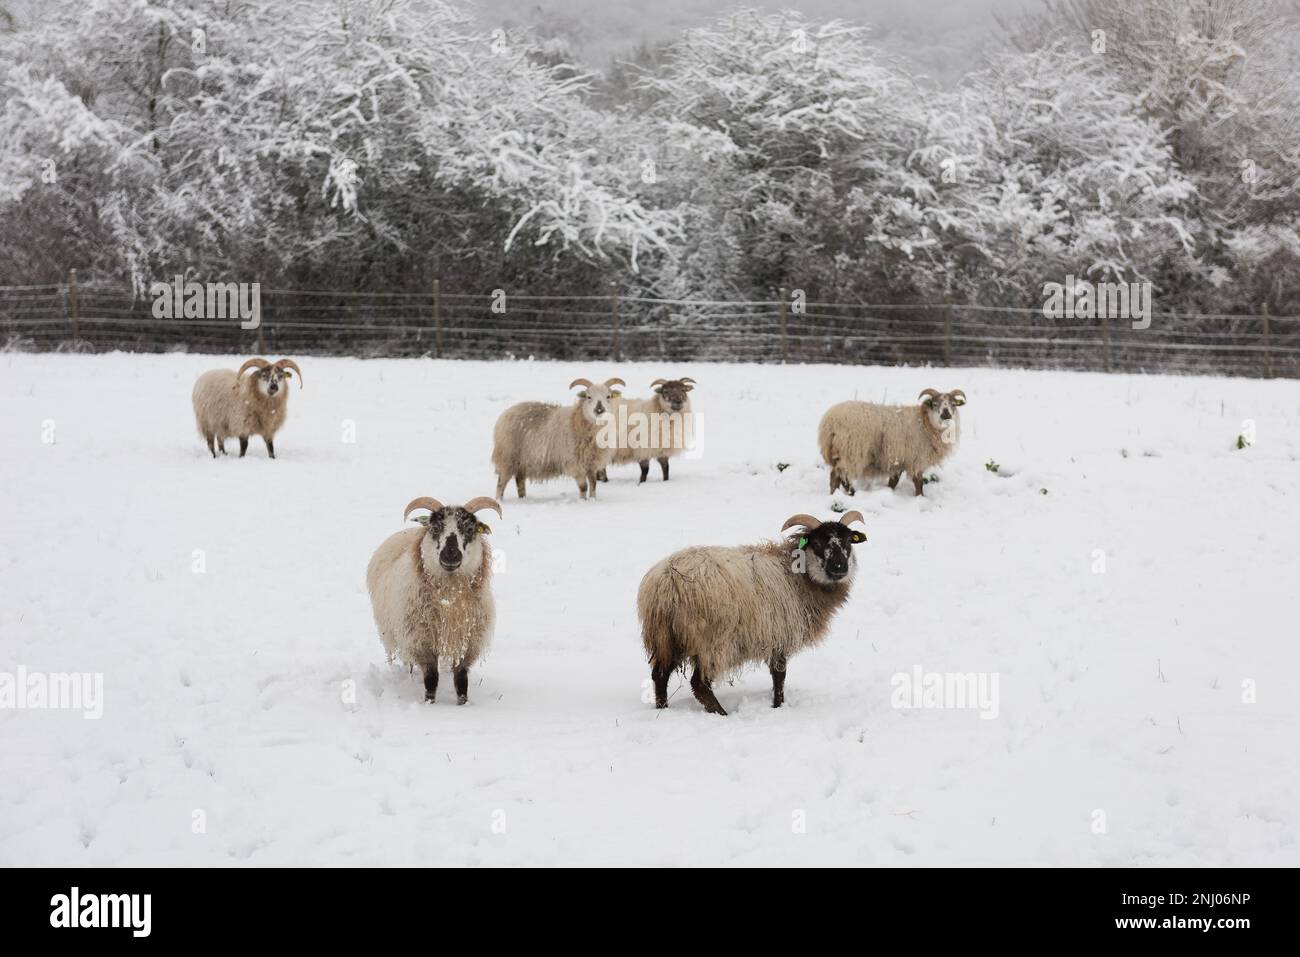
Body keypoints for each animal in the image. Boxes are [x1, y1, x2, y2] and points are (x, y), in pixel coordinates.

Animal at [371, 494, 506, 702]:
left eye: (469, 529)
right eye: (435, 528)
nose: (450, 554)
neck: (449, 600)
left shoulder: (468, 643)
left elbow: (461, 678)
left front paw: (463, 703)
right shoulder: (420, 641)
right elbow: (431, 677)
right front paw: (430, 703)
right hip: (393, 635)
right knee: (405, 661)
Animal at [491, 379, 624, 504]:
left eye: (608, 396)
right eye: (588, 396)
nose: (599, 409)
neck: (577, 420)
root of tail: (503, 415)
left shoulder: (591, 463)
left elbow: (593, 485)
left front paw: (593, 499)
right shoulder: (575, 464)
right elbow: (583, 487)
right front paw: (583, 501)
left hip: (522, 462)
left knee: (519, 481)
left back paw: (523, 498)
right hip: (508, 458)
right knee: (501, 483)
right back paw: (499, 501)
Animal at [637, 512, 863, 712]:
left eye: (848, 542)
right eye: (817, 543)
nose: (839, 567)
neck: (799, 575)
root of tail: (667, 581)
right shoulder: (780, 633)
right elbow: (779, 675)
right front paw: (778, 706)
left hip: (667, 638)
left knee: (659, 675)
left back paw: (663, 708)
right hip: (711, 641)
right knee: (699, 685)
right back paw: (722, 714)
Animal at [816, 387, 972, 496]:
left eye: (953, 404)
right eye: (934, 403)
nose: (946, 414)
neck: (926, 423)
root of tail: (829, 422)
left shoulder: (899, 460)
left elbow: (894, 481)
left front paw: (889, 491)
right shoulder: (915, 459)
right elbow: (918, 483)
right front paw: (920, 497)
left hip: (840, 452)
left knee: (837, 476)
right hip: (851, 452)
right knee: (839, 476)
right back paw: (847, 494)